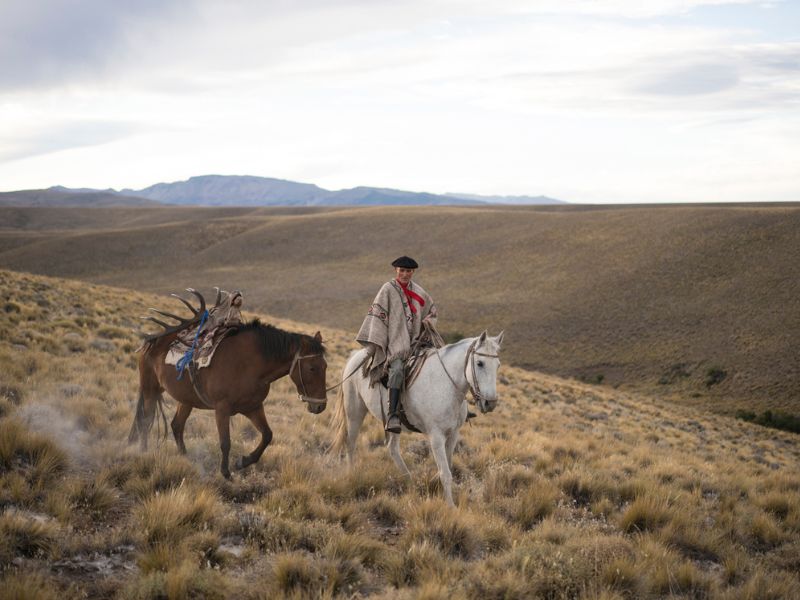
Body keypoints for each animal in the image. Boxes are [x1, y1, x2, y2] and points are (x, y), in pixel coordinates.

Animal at [127, 292, 324, 478]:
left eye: (325, 366)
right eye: (312, 368)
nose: (320, 406)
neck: (250, 363)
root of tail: (152, 343)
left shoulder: (253, 407)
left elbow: (267, 435)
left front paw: (243, 462)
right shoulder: (222, 408)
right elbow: (225, 442)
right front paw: (226, 472)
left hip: (186, 399)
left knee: (176, 425)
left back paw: (185, 457)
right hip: (150, 389)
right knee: (146, 421)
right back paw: (144, 452)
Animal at [330, 332, 504, 506]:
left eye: (498, 365)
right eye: (480, 363)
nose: (490, 403)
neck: (444, 385)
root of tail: (354, 356)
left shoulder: (453, 433)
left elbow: (447, 464)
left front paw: (434, 484)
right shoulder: (436, 436)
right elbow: (445, 473)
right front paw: (450, 506)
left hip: (393, 423)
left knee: (392, 448)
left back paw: (409, 480)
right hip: (355, 412)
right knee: (351, 443)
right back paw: (351, 474)